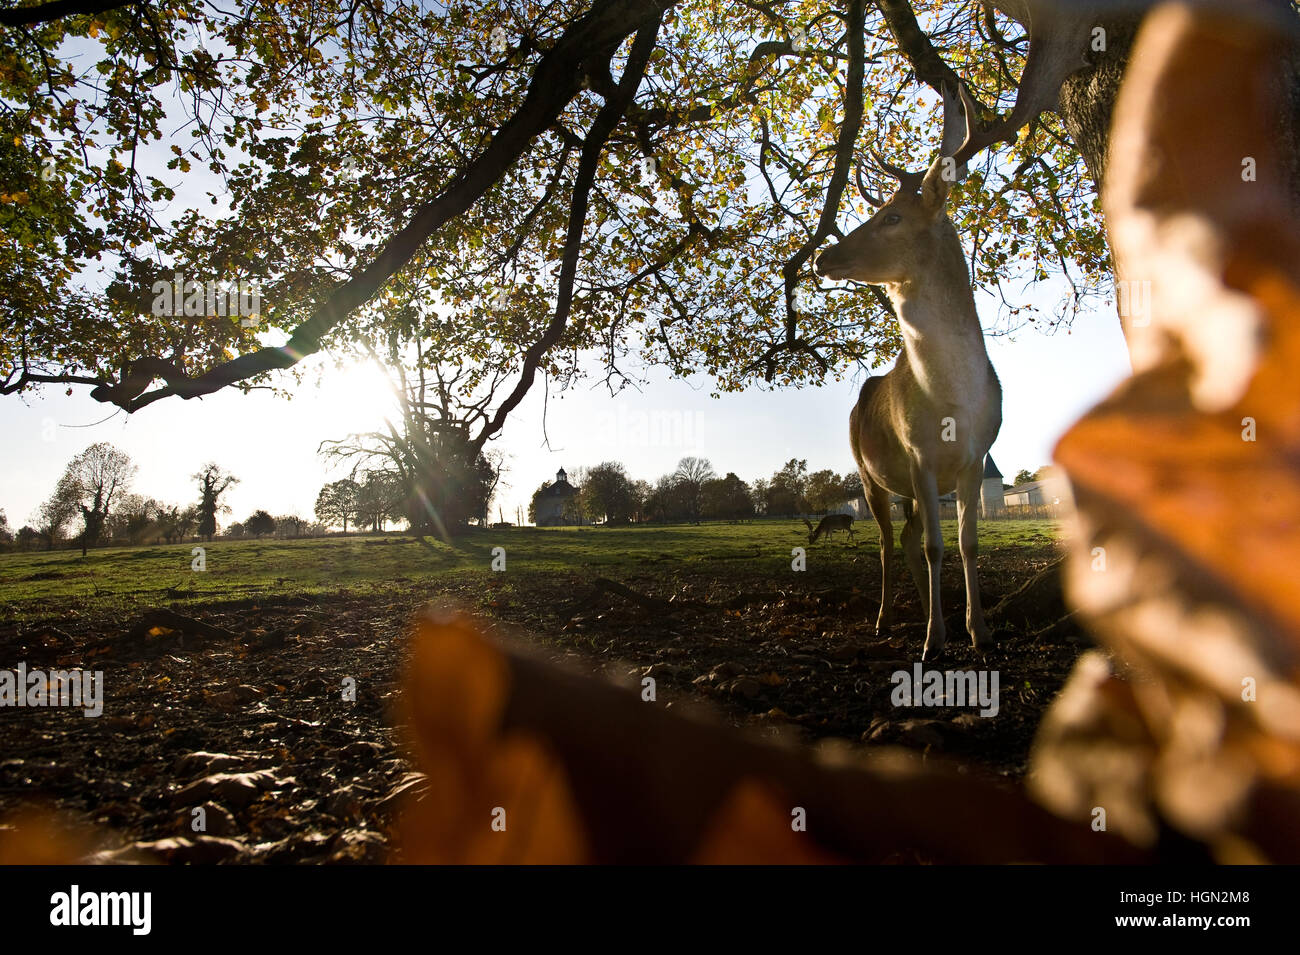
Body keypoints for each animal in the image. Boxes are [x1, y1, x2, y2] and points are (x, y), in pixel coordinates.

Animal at [816, 82, 1008, 660]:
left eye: (893, 218)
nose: (823, 257)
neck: (952, 402)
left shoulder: (974, 459)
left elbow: (966, 544)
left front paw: (978, 632)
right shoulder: (918, 454)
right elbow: (934, 546)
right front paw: (933, 641)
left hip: (910, 487)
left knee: (904, 539)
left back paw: (925, 614)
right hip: (868, 474)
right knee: (885, 542)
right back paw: (885, 617)